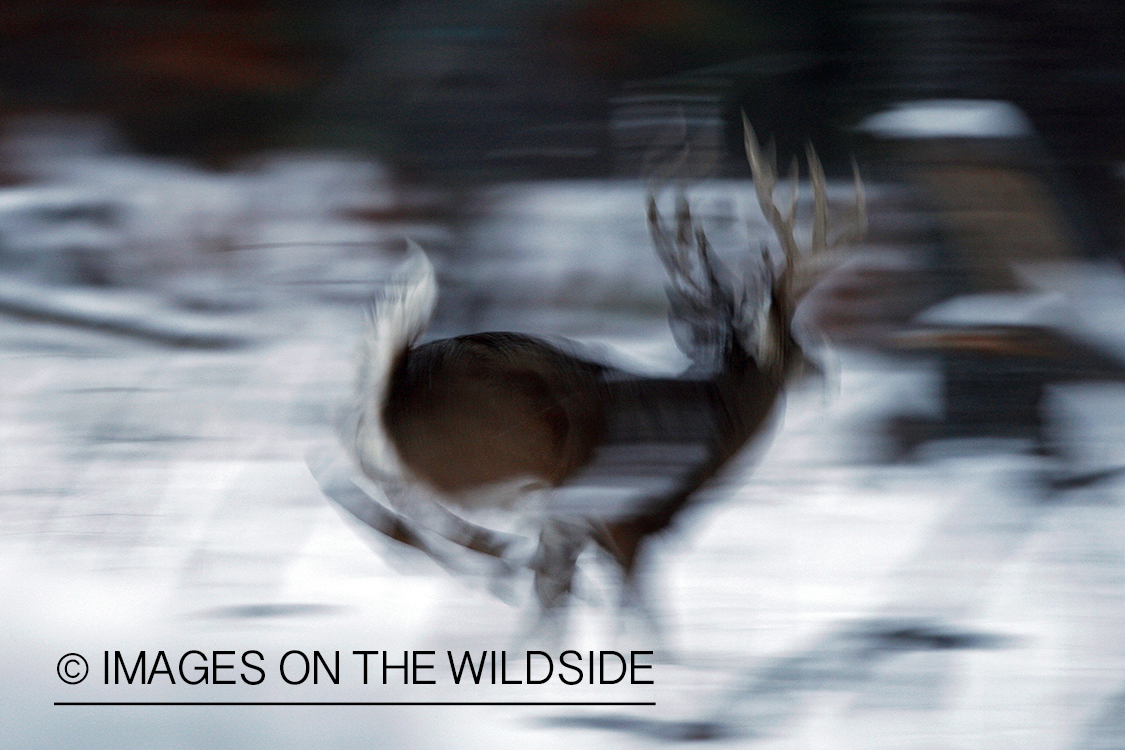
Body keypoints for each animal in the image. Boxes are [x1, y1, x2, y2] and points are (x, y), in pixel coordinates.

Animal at [310, 120, 868, 643]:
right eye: (792, 344)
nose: (829, 374)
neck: (706, 427)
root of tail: (394, 379)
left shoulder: (603, 530)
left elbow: (563, 595)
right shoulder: (628, 524)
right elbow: (634, 612)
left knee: (358, 477)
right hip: (510, 441)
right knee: (414, 500)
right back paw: (495, 560)